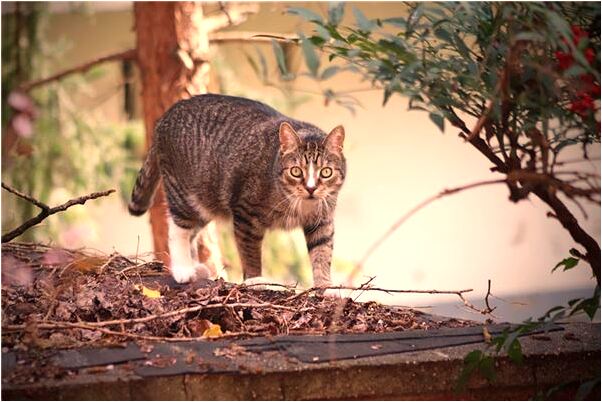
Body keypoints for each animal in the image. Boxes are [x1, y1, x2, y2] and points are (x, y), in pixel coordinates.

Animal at [129, 94, 344, 288]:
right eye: (296, 171)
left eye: (326, 172)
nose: (311, 188)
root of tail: (166, 116)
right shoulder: (246, 214)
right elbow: (250, 254)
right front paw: (255, 280)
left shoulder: (322, 221)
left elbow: (322, 253)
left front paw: (326, 287)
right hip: (183, 193)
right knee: (178, 229)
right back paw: (183, 269)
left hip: (204, 201)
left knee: (191, 232)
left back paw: (195, 267)